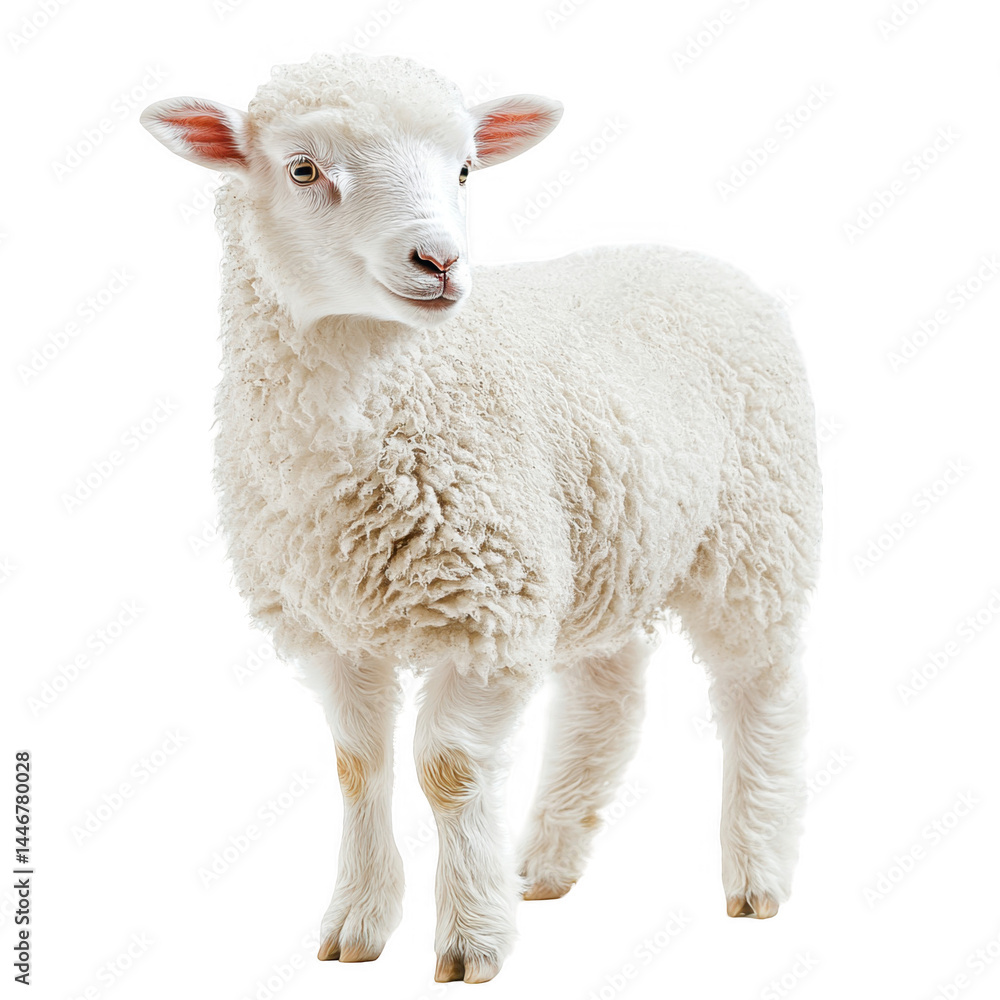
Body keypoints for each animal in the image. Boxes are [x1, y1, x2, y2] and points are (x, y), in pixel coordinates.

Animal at [140, 52, 822, 984]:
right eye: (304, 170)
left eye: (464, 168)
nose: (440, 260)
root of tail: (687, 257)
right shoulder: (332, 624)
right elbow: (358, 765)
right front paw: (358, 923)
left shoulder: (490, 610)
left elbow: (449, 768)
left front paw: (471, 939)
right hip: (606, 543)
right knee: (608, 694)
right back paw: (548, 863)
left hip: (756, 531)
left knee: (760, 686)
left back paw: (756, 871)